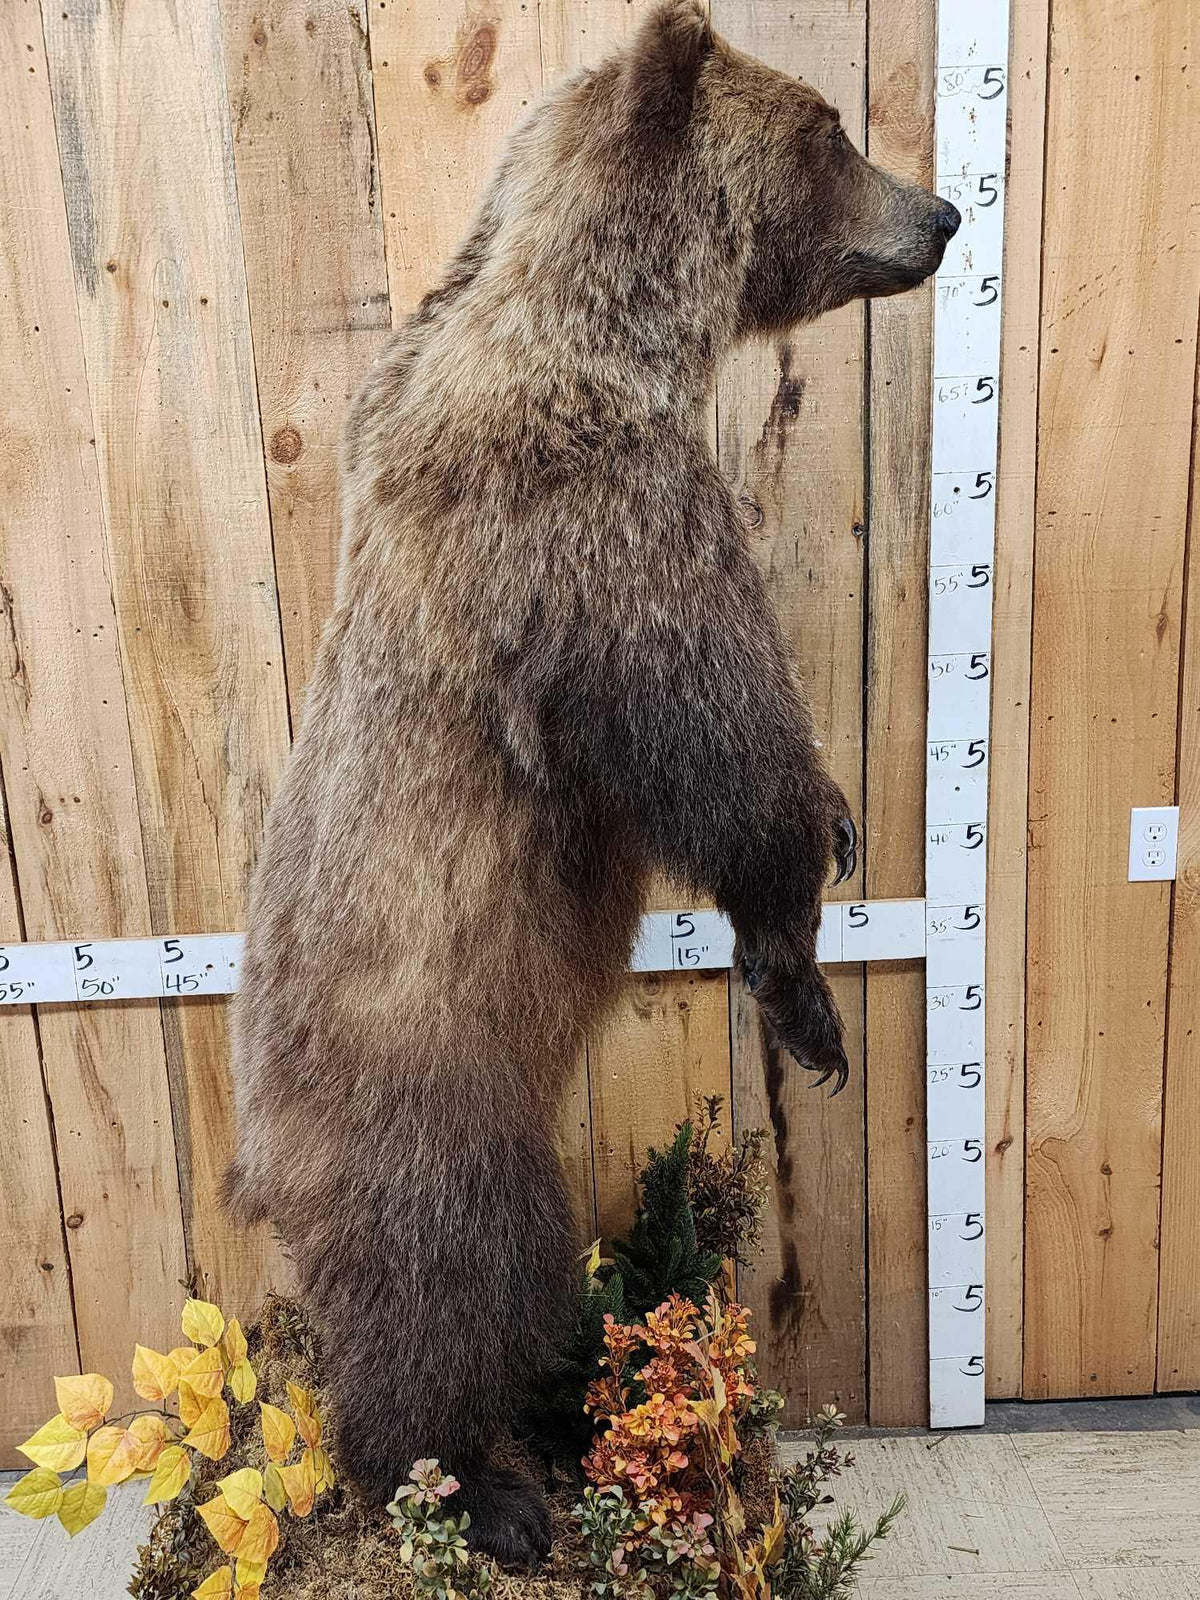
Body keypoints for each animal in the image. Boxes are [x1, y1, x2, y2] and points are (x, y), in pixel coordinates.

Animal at [224, 0, 958, 1566]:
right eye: (830, 130)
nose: (940, 212)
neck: (622, 330)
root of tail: (261, 1159)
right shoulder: (587, 524)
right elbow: (709, 726)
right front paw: (807, 955)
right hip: (433, 1104)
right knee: (449, 1287)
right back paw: (476, 1485)